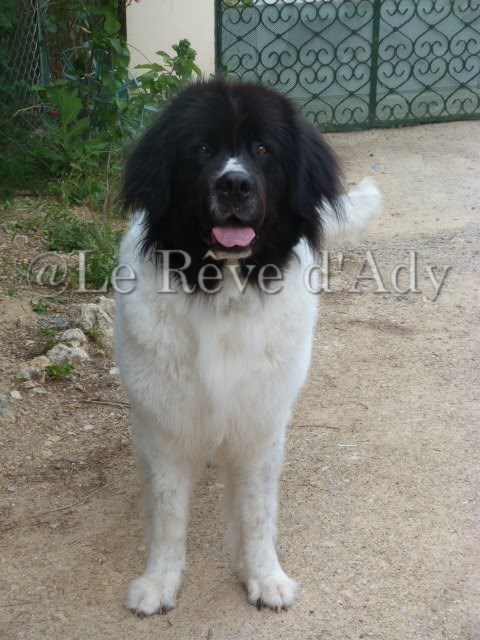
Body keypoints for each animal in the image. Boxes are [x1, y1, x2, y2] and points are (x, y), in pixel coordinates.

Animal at [114, 79, 381, 615]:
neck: (225, 291)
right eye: (201, 150)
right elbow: (168, 514)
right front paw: (159, 583)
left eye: (262, 150)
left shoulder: (260, 423)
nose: (234, 185)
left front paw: (264, 577)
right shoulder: (167, 426)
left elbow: (258, 512)